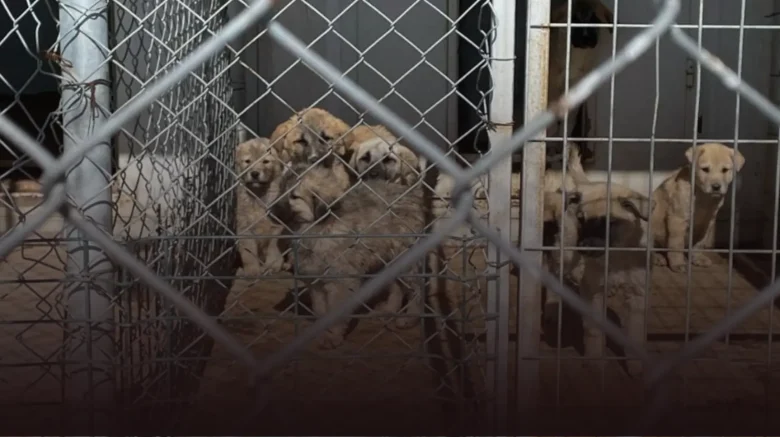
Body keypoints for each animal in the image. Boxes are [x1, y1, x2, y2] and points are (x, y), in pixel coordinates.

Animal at [236, 136, 290, 274]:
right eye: (247, 161)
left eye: (266, 161)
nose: (254, 174)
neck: (259, 194)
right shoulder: (245, 229)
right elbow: (248, 253)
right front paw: (252, 270)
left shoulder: (278, 227)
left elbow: (273, 249)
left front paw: (273, 265)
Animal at [272, 162, 426, 350]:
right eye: (280, 191)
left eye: (294, 197)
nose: (269, 211)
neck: (320, 225)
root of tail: (412, 194)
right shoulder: (315, 281)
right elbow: (320, 309)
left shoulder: (341, 281)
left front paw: (333, 336)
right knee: (397, 285)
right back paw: (390, 309)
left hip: (406, 257)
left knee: (417, 288)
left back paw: (410, 318)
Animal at [564, 181, 656, 374]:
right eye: (581, 219)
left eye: (608, 223)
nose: (583, 248)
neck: (616, 255)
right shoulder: (594, 291)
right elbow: (594, 329)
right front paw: (594, 360)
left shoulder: (638, 294)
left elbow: (636, 333)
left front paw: (635, 365)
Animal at [652, 142, 744, 272]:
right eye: (705, 169)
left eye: (725, 170)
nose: (716, 187)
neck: (703, 196)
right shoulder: (677, 219)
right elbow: (676, 244)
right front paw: (678, 263)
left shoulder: (707, 222)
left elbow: (700, 242)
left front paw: (697, 257)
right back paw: (657, 257)